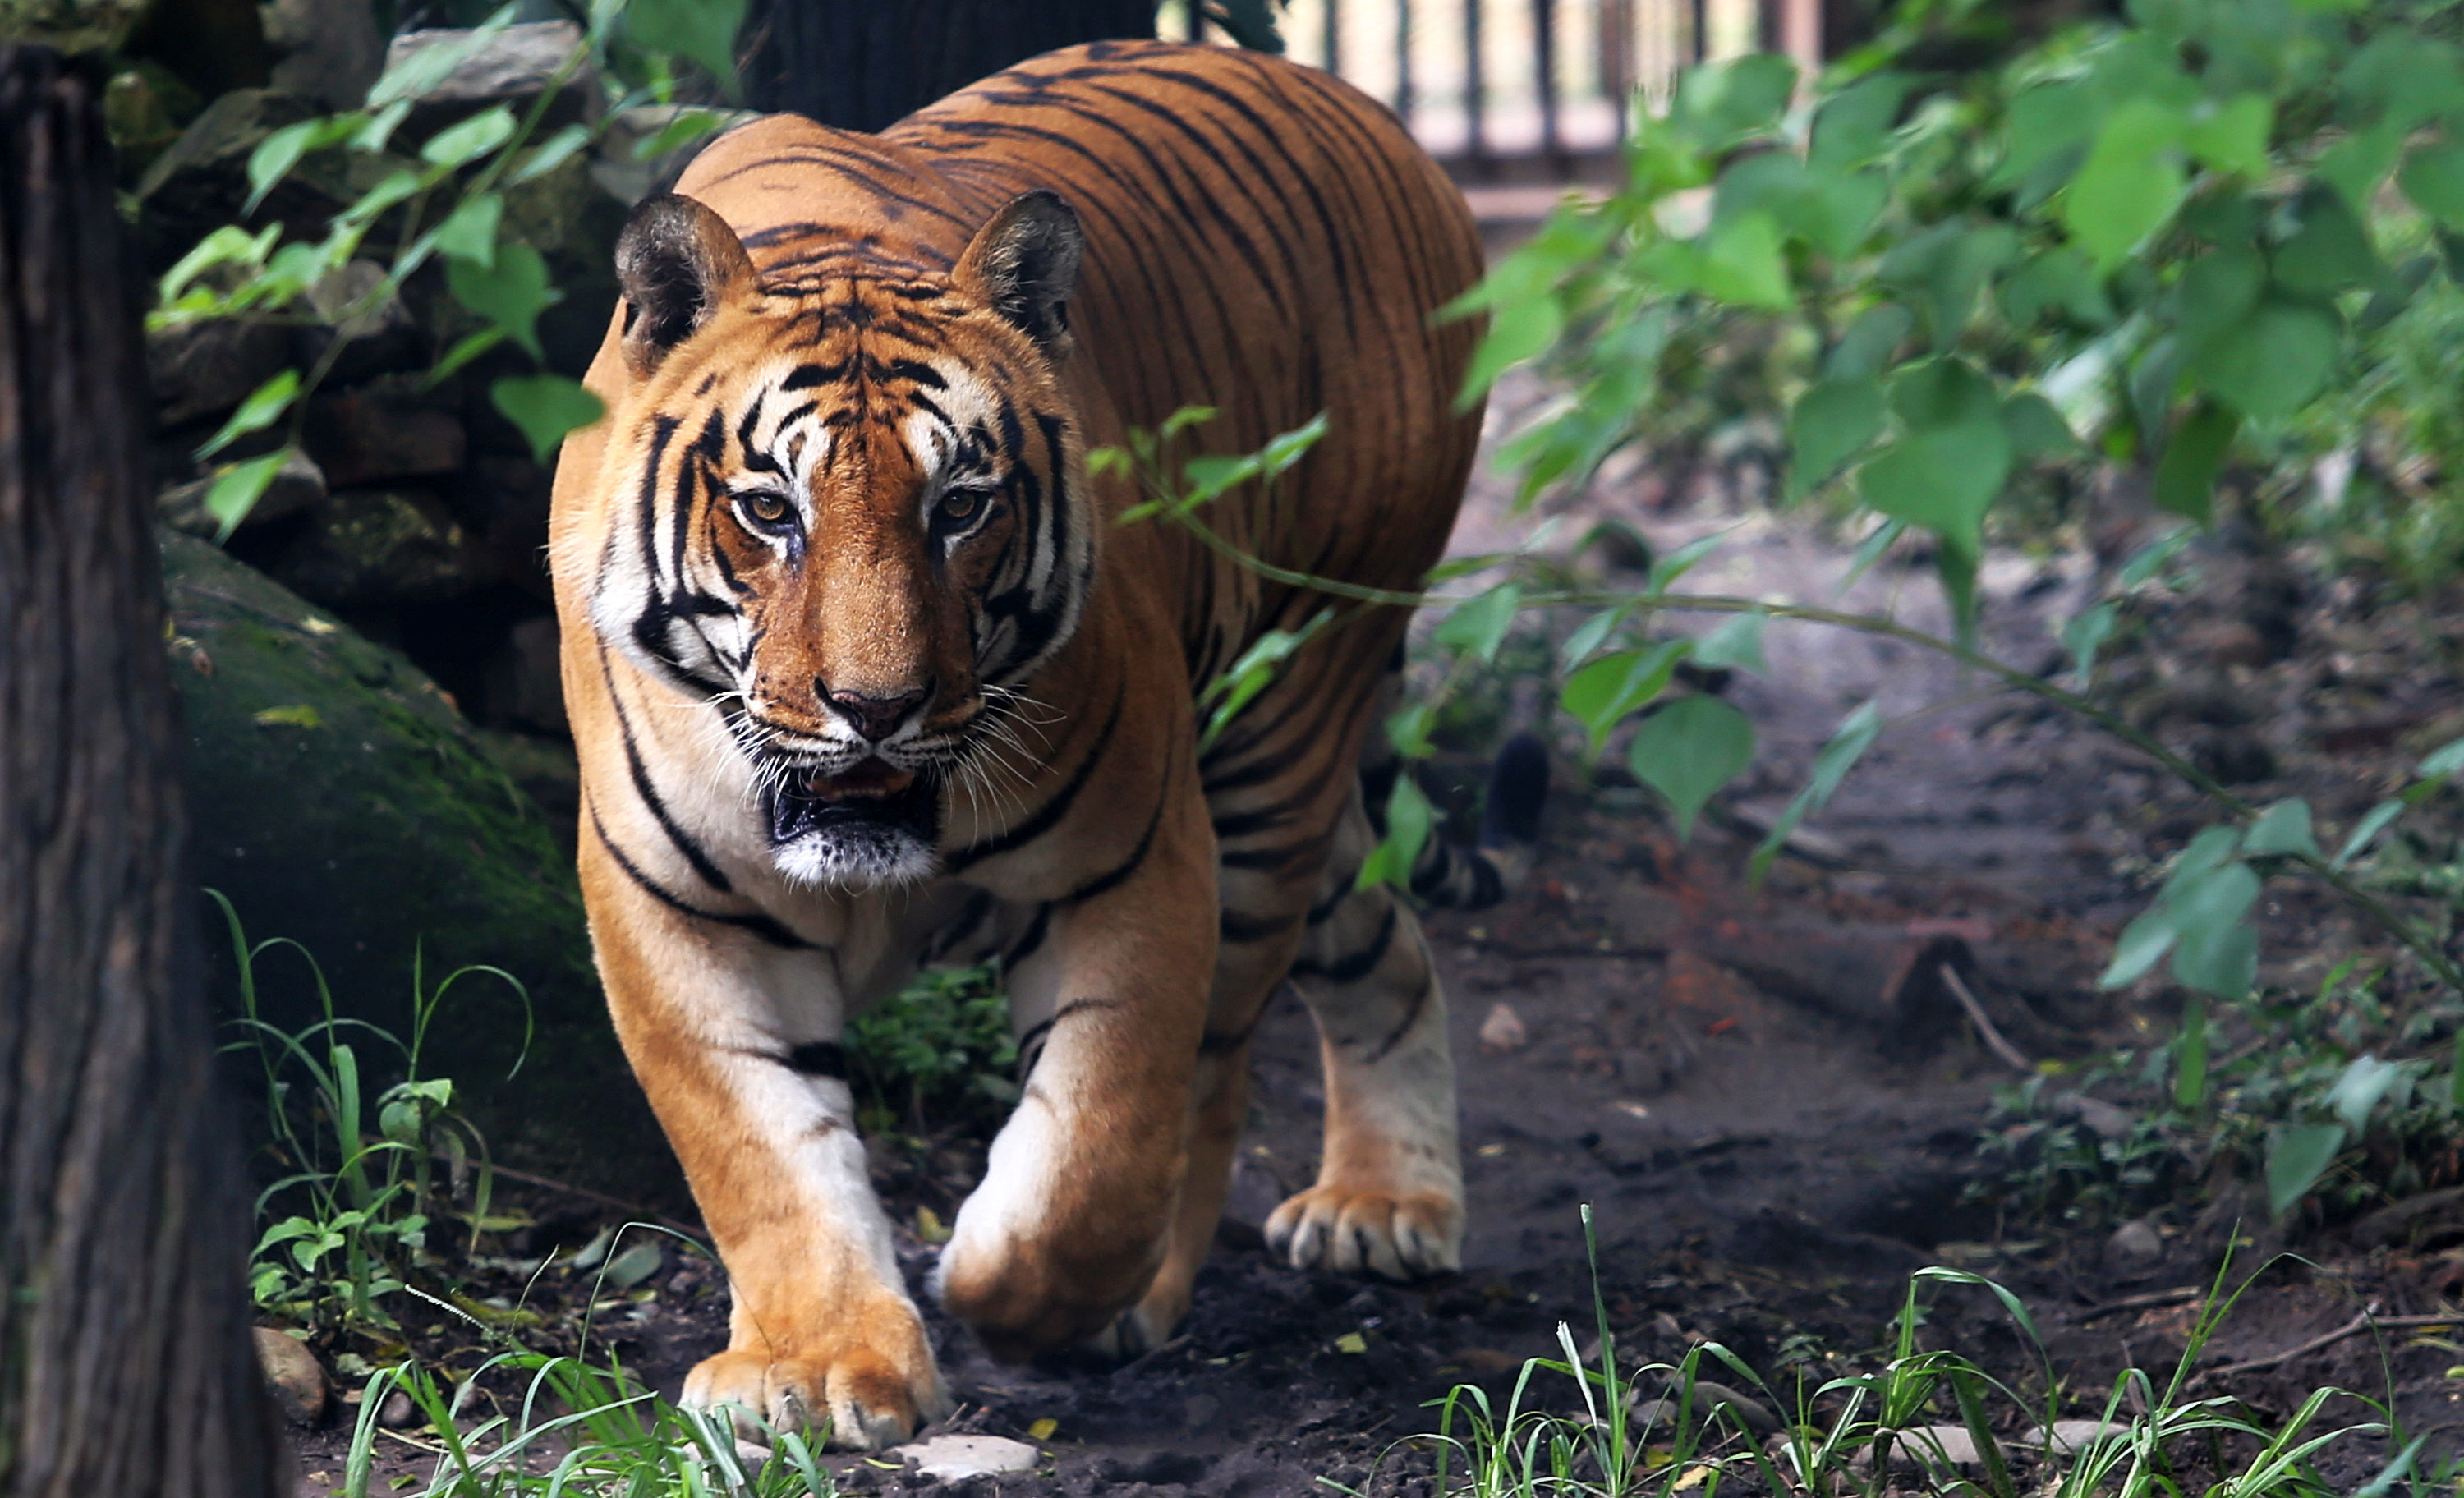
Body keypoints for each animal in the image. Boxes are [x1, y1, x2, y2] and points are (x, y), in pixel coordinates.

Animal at [549, 38, 1528, 1449]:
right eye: (770, 510)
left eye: (960, 506)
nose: (877, 707)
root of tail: (1372, 113)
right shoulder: (674, 908)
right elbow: (760, 1152)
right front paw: (817, 1369)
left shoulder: (1135, 864)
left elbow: (1104, 1140)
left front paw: (1011, 1295)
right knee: (1382, 928)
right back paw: (1389, 1206)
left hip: (1282, 732)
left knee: (1220, 1064)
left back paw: (1189, 1279)